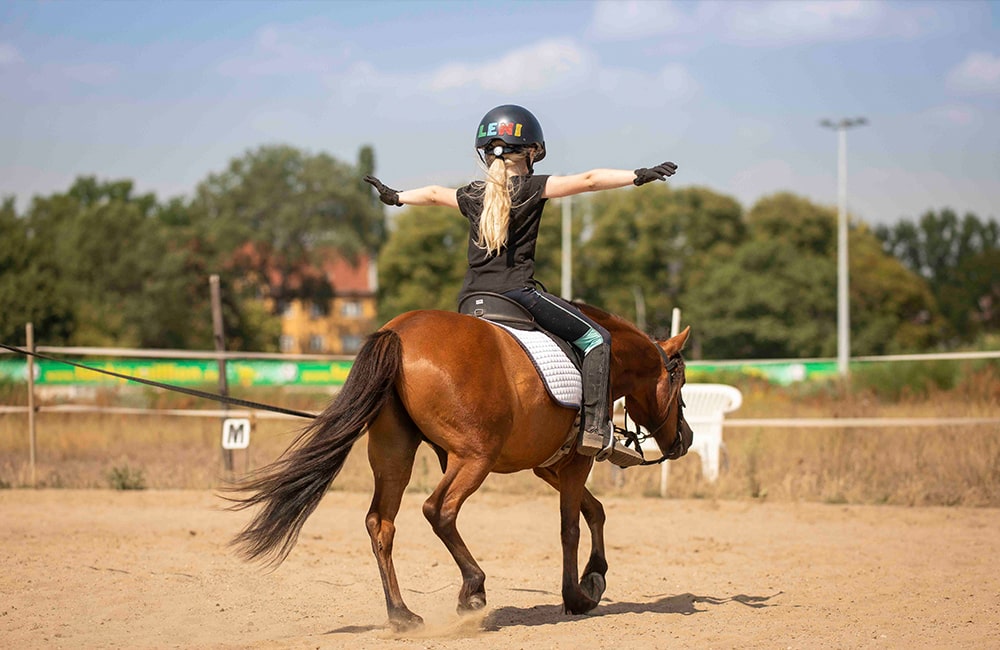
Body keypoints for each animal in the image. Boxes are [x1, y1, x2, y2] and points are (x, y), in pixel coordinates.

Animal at [226, 301, 692, 631]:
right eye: (680, 381)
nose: (684, 439)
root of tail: (398, 332)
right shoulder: (575, 462)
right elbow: (570, 527)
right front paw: (576, 595)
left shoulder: (548, 466)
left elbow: (594, 510)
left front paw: (595, 578)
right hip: (472, 457)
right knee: (439, 510)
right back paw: (473, 590)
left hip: (395, 451)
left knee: (381, 522)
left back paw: (402, 614)